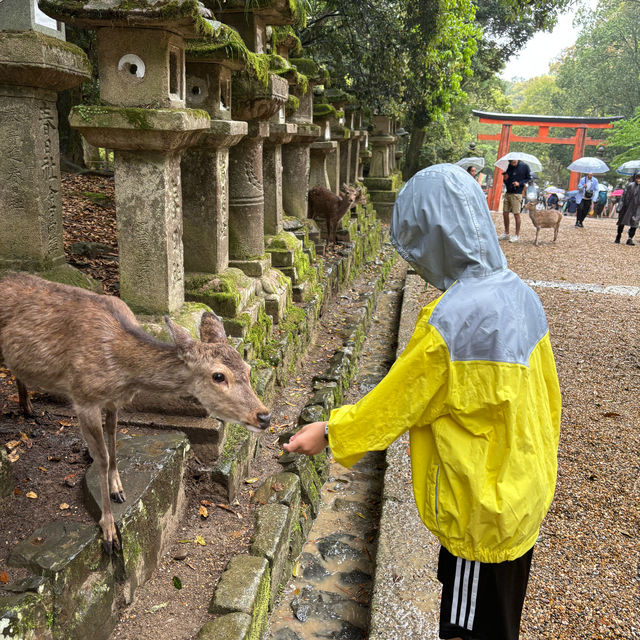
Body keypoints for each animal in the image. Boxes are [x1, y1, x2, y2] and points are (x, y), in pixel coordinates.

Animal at [0, 276, 270, 556]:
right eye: (218, 376)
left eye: (248, 369)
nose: (264, 417)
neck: (123, 371)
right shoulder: (83, 398)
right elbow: (101, 457)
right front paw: (109, 532)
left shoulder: (113, 400)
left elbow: (113, 439)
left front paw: (118, 489)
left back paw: (27, 406)